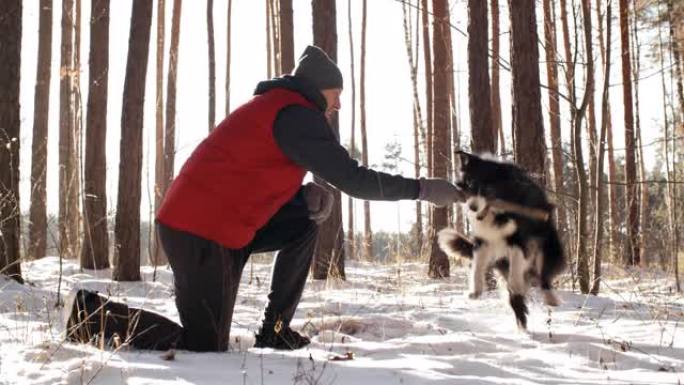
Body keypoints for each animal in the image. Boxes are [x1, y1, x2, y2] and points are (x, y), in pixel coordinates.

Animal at [438, 152, 568, 328]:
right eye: (470, 183)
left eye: (488, 189)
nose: (472, 208)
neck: (493, 213)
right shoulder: (483, 241)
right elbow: (477, 267)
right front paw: (475, 291)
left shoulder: (517, 240)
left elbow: (516, 273)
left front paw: (516, 288)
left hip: (545, 249)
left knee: (544, 277)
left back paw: (547, 299)